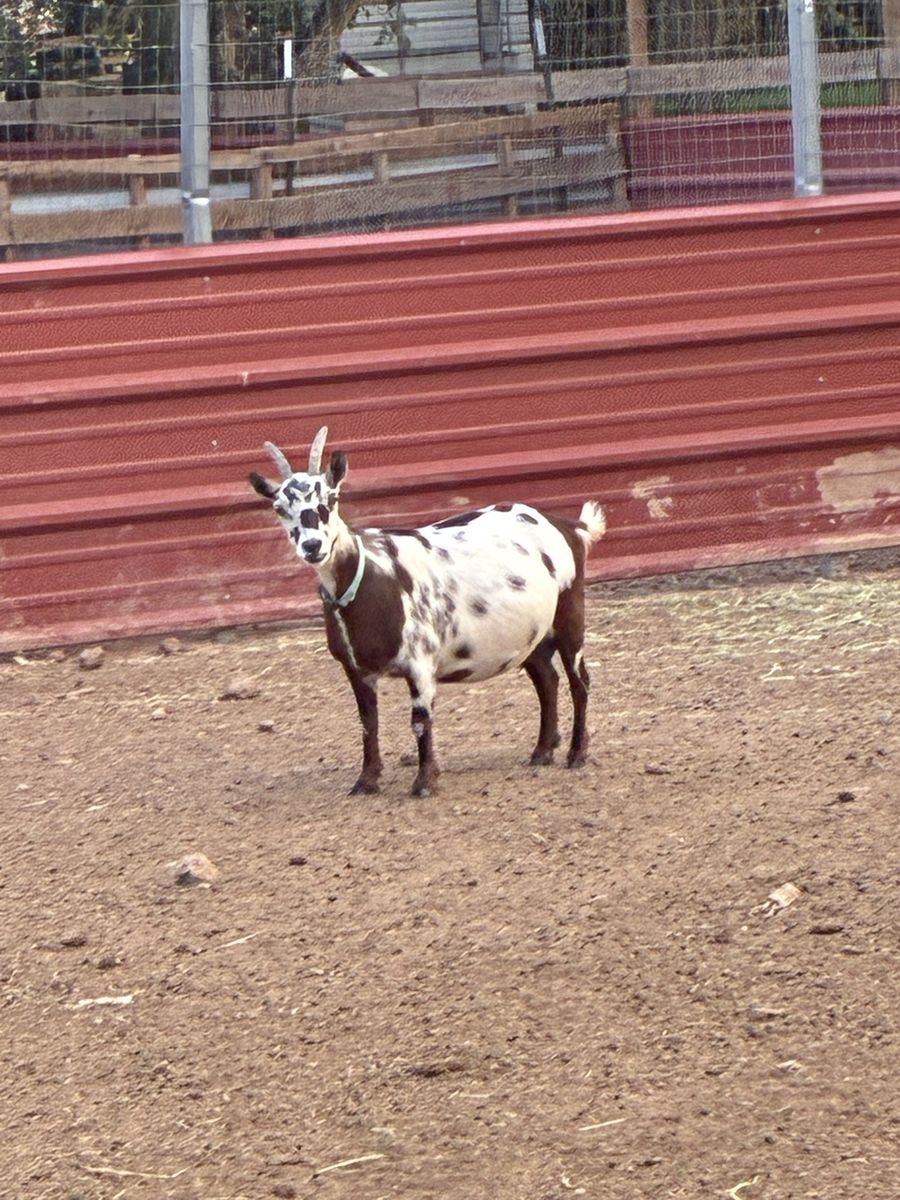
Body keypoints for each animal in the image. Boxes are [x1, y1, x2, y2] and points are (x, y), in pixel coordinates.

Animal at [250, 426, 606, 797]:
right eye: (279, 507)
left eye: (331, 499)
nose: (312, 546)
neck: (370, 576)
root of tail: (570, 527)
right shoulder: (356, 670)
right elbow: (368, 723)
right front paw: (366, 781)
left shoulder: (420, 662)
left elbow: (420, 720)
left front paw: (424, 782)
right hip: (530, 635)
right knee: (547, 681)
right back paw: (542, 751)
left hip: (570, 617)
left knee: (579, 682)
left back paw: (576, 754)